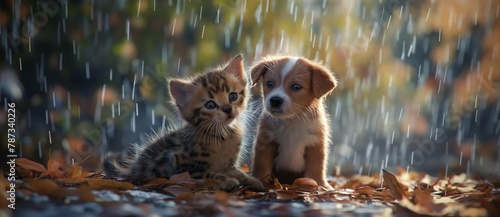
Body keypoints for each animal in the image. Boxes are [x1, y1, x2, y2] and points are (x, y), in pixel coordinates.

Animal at [103, 55, 264, 191]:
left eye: (233, 96)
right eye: (210, 105)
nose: (228, 109)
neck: (222, 134)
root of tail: (133, 169)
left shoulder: (229, 164)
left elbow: (237, 172)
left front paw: (252, 180)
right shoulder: (178, 163)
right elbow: (208, 174)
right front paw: (226, 180)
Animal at [252, 55, 338, 189]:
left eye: (296, 87)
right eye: (270, 83)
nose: (275, 100)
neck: (293, 120)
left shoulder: (316, 145)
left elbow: (317, 168)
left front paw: (321, 184)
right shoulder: (266, 142)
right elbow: (262, 164)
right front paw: (260, 181)